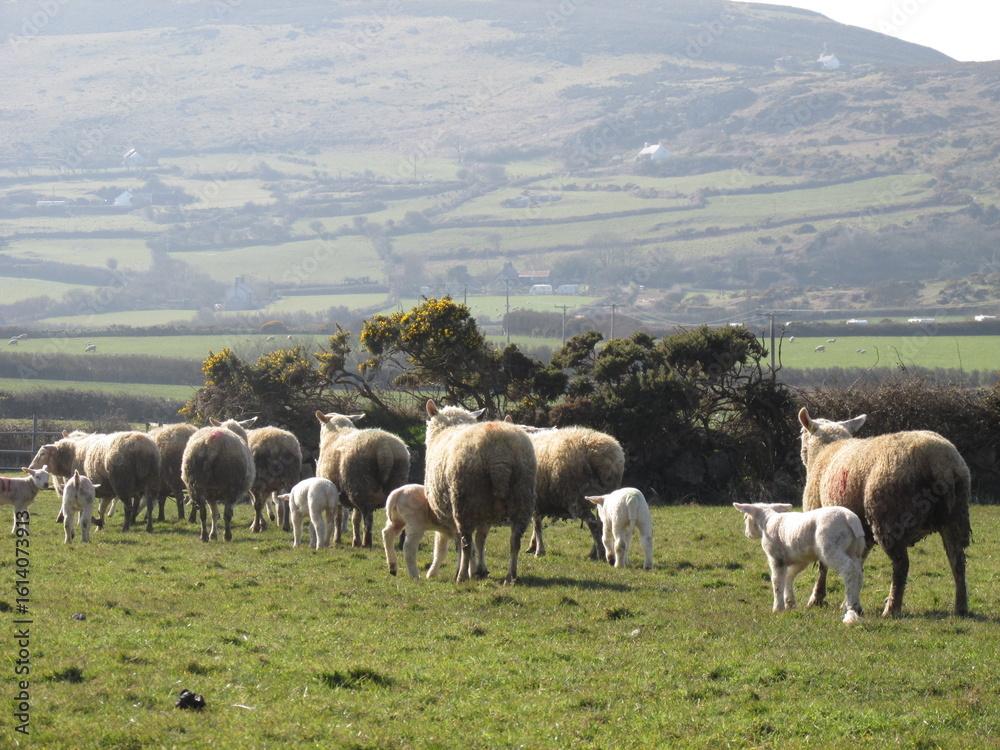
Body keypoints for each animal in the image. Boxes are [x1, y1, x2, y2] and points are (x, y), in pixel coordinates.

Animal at [30, 431, 160, 532]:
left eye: (42, 454)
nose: (31, 467)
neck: (72, 455)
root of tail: (142, 446)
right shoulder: (107, 491)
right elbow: (100, 509)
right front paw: (99, 525)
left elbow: (85, 508)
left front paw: (93, 522)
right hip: (150, 483)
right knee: (149, 505)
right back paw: (148, 527)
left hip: (122, 484)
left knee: (128, 507)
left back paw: (125, 527)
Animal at [315, 411, 410, 548]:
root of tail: (384, 448)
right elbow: (355, 519)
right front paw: (355, 541)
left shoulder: (335, 494)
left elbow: (338, 518)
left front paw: (337, 539)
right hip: (394, 481)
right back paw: (401, 543)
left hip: (360, 485)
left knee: (368, 518)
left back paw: (366, 543)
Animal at [424, 400, 536, 584]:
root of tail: (499, 453)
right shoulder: (486, 515)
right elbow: (481, 540)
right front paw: (480, 570)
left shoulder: (454, 516)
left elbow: (463, 544)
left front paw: (468, 570)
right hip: (522, 496)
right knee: (515, 541)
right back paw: (511, 576)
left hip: (464, 500)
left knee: (466, 543)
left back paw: (461, 576)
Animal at [733, 502, 865, 623]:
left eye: (745, 517)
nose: (747, 534)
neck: (768, 522)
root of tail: (849, 517)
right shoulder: (801, 559)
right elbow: (789, 576)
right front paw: (790, 602)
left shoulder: (776, 557)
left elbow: (777, 581)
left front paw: (778, 608)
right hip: (855, 550)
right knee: (858, 572)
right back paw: (854, 607)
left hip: (830, 547)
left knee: (848, 568)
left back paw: (852, 607)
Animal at [798, 407, 972, 617]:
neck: (825, 450)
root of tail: (940, 463)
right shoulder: (861, 532)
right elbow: (858, 564)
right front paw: (848, 602)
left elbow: (823, 566)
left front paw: (816, 599)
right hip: (955, 518)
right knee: (958, 561)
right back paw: (960, 607)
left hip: (888, 516)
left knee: (902, 565)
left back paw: (892, 608)